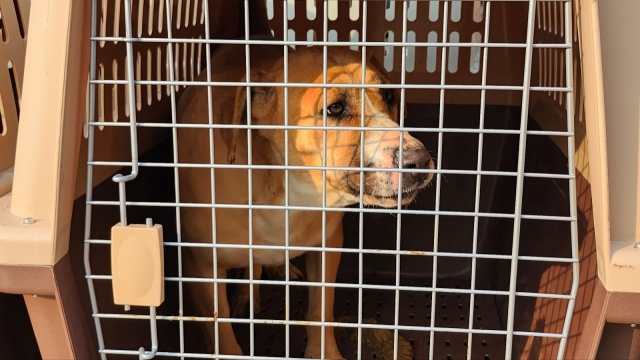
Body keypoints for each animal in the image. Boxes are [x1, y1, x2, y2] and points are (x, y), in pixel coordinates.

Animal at [175, 41, 436, 358]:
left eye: (389, 96)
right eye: (335, 108)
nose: (420, 161)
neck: (284, 192)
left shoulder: (328, 245)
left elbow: (320, 310)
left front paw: (325, 351)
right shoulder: (201, 269)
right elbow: (222, 334)